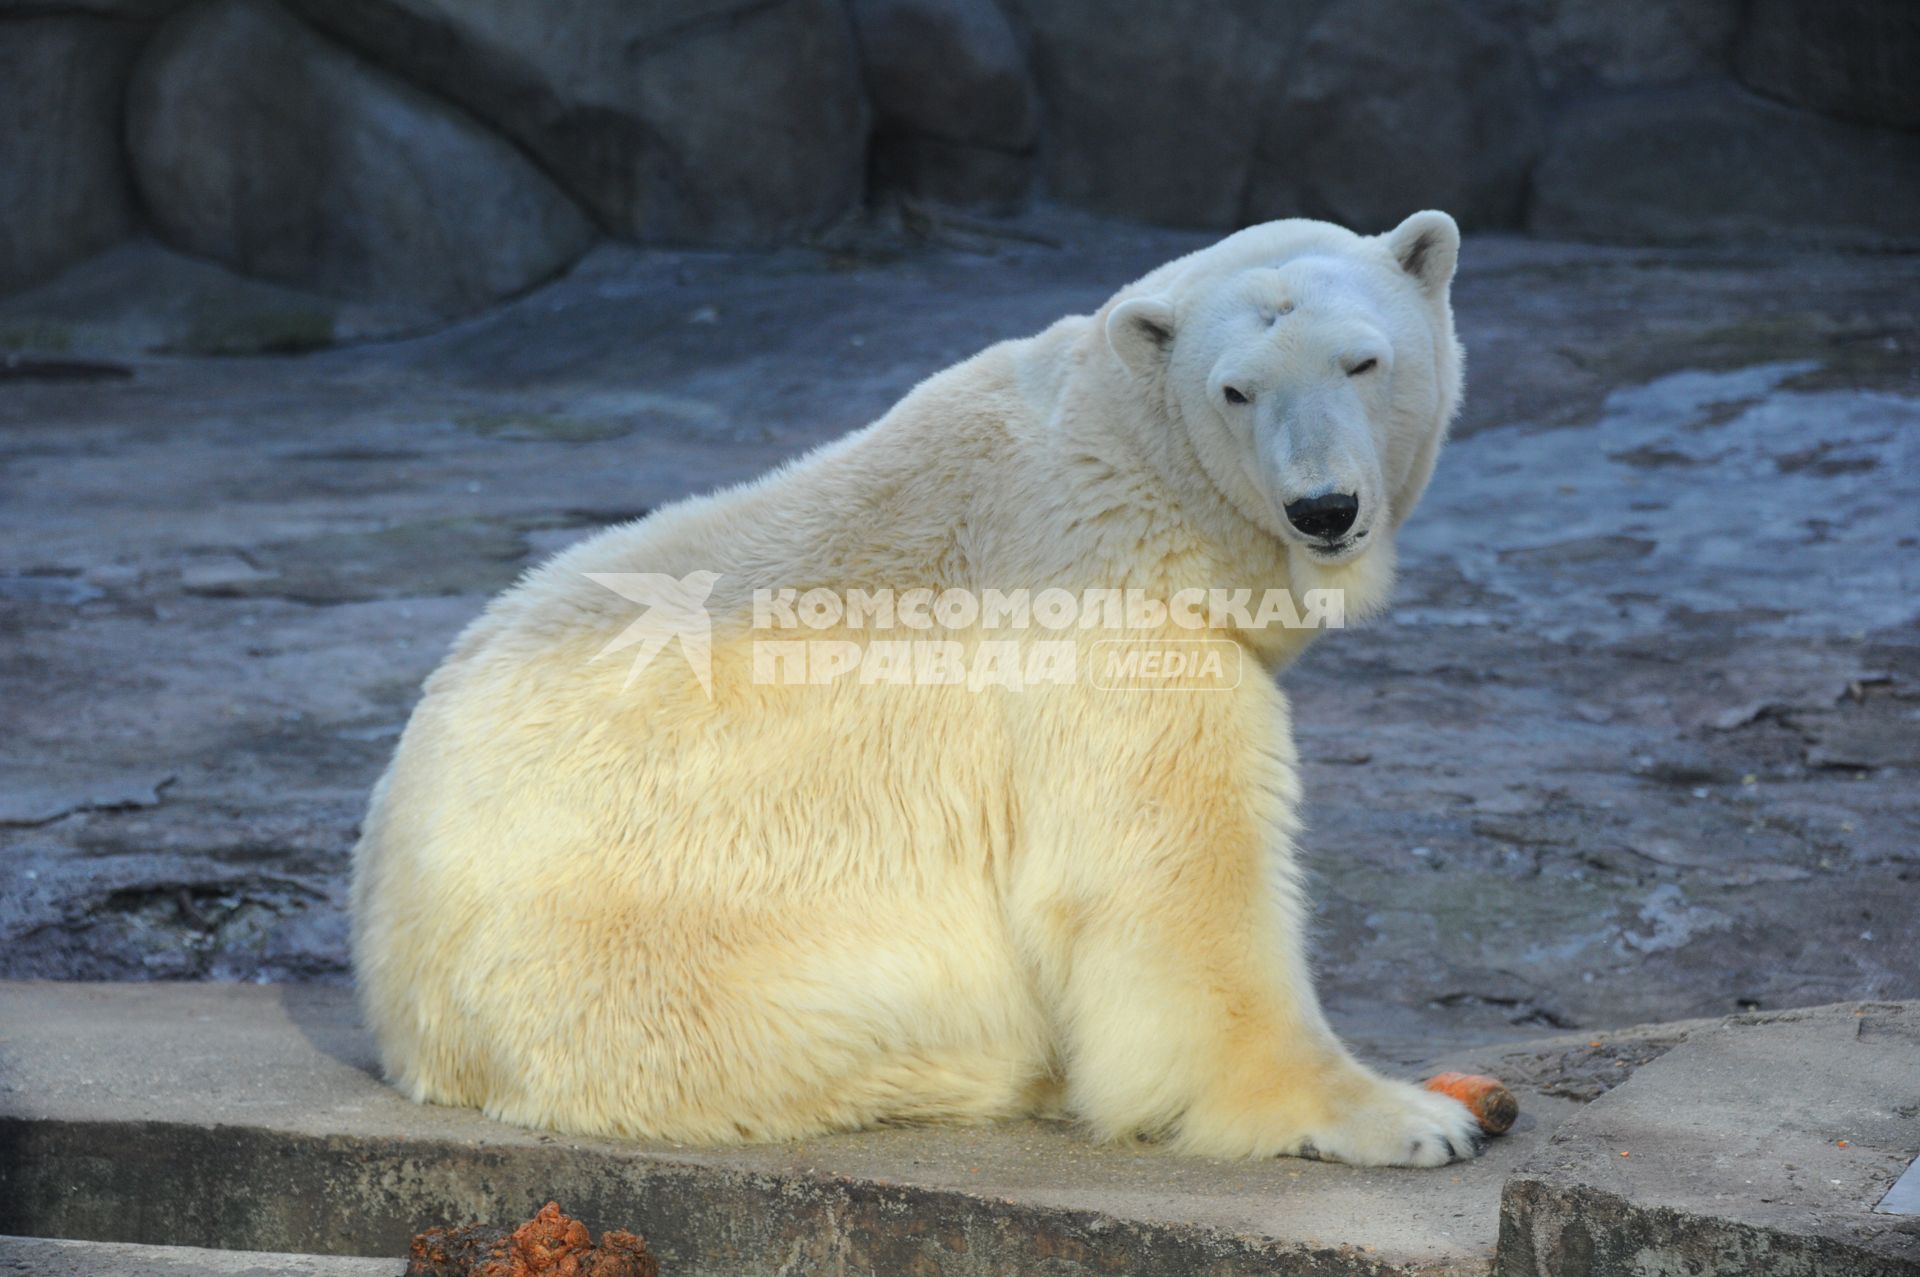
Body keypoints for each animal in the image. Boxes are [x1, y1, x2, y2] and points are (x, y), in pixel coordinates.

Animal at [357, 209, 1466, 1167]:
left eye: (1363, 360)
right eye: (1236, 390)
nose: (1323, 507)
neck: (1138, 474)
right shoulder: (1105, 632)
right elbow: (1177, 884)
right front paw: (1408, 1117)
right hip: (655, 955)